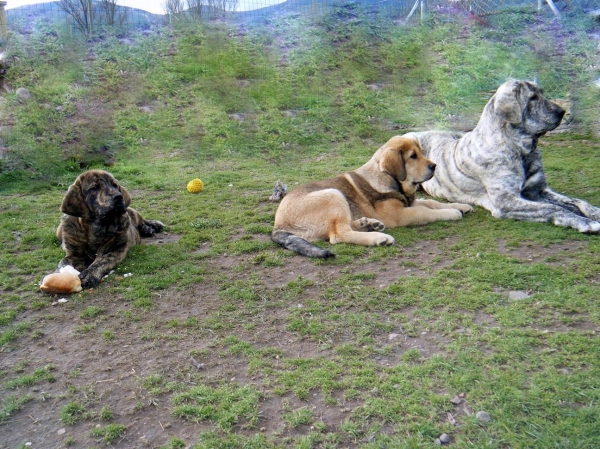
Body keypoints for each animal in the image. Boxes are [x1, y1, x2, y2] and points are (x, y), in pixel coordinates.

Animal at [272, 135, 474, 258]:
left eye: (422, 153)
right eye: (413, 156)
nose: (434, 166)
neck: (390, 179)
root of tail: (278, 225)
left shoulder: (408, 203)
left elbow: (431, 202)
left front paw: (461, 206)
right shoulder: (399, 215)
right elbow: (426, 212)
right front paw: (452, 212)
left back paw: (368, 224)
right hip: (333, 194)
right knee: (338, 235)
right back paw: (378, 237)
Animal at [406, 80, 600, 233]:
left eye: (542, 93)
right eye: (532, 98)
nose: (562, 111)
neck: (521, 149)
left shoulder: (538, 190)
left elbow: (577, 201)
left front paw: (594, 212)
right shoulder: (506, 201)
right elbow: (552, 208)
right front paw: (584, 222)